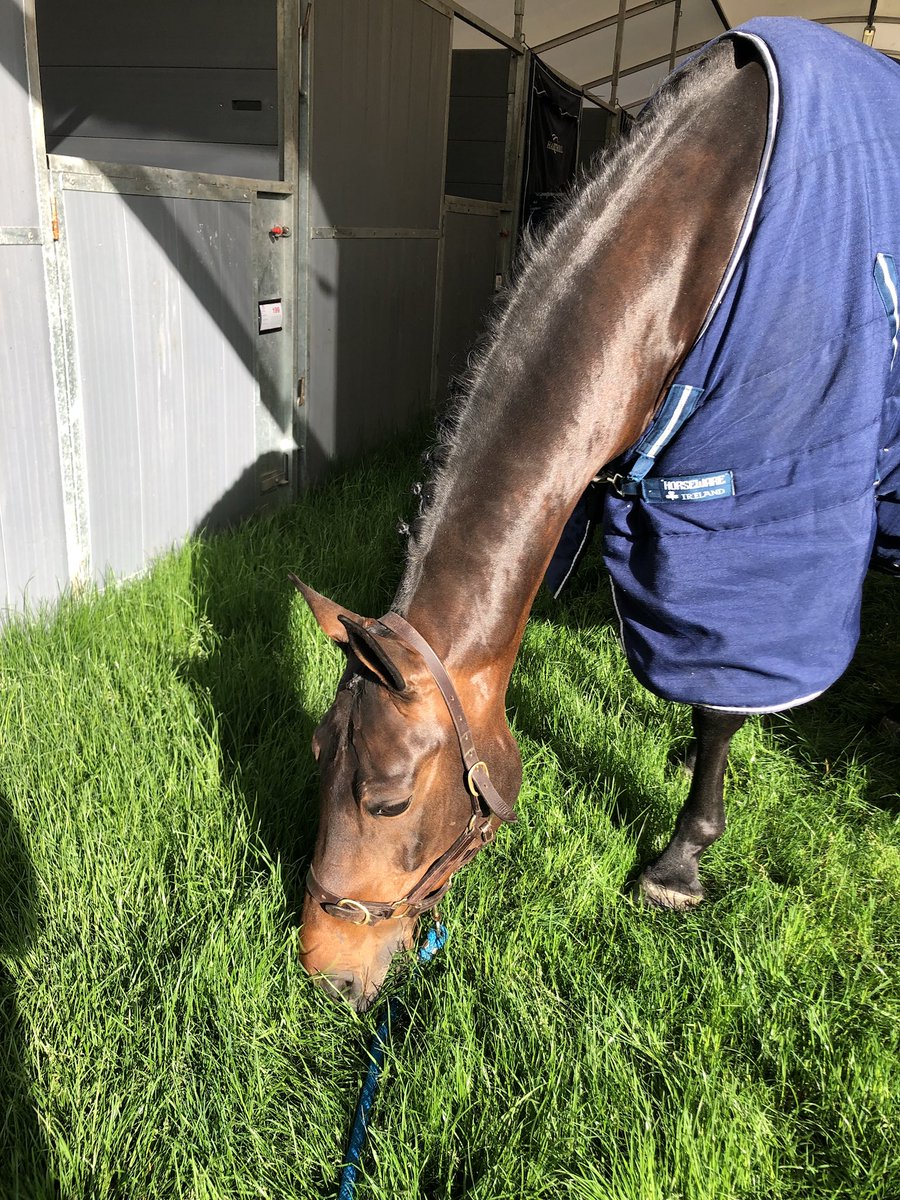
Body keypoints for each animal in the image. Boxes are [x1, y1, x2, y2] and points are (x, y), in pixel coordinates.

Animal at [292, 18, 900, 1008]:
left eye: (386, 799)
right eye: (316, 757)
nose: (325, 973)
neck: (699, 235)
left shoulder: (747, 520)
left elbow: (718, 699)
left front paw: (680, 863)